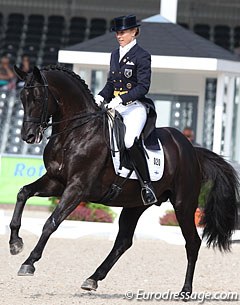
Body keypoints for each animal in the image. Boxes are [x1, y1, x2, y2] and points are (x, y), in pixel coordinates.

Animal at [8, 65, 238, 296]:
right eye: (21, 98)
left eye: (38, 97)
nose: (28, 136)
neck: (75, 133)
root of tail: (191, 149)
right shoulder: (56, 181)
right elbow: (23, 193)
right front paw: (15, 243)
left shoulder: (77, 188)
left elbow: (51, 222)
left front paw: (29, 263)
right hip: (135, 204)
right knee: (124, 241)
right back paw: (92, 279)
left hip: (184, 204)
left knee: (192, 242)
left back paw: (185, 290)